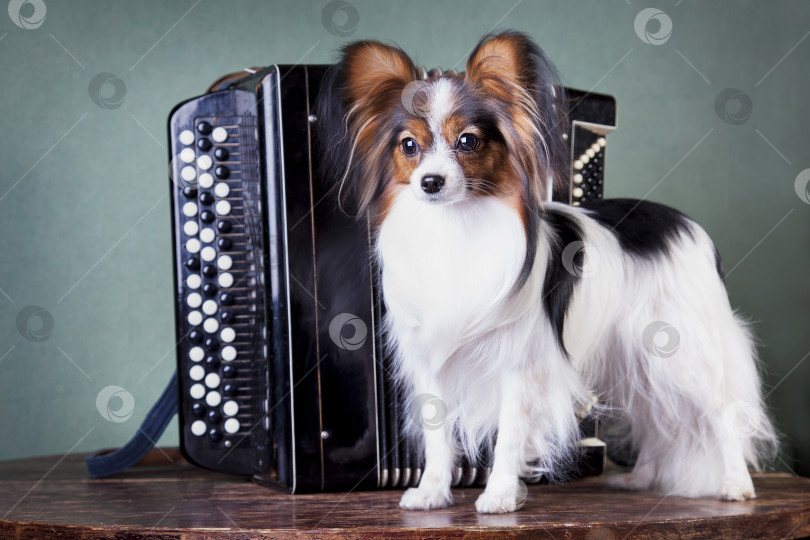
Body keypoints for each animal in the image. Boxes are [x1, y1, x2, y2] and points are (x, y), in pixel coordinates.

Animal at [316, 30, 776, 516]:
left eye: (468, 141)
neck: (456, 228)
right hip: (639, 359)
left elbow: (510, 437)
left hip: (684, 354)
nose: (431, 182)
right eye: (408, 146)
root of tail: (686, 225)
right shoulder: (432, 364)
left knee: (722, 413)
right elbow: (438, 439)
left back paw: (735, 484)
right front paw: (432, 493)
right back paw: (641, 478)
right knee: (655, 415)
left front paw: (499, 496)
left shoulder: (520, 368)